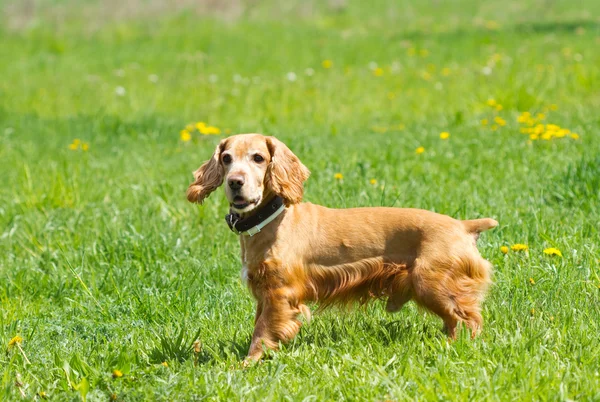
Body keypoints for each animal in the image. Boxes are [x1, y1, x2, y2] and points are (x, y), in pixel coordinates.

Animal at [186, 133, 496, 362]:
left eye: (258, 158)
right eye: (226, 158)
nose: (234, 182)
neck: (272, 220)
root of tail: (463, 226)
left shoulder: (279, 293)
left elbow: (262, 334)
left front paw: (247, 365)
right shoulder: (264, 293)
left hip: (431, 283)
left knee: (468, 319)